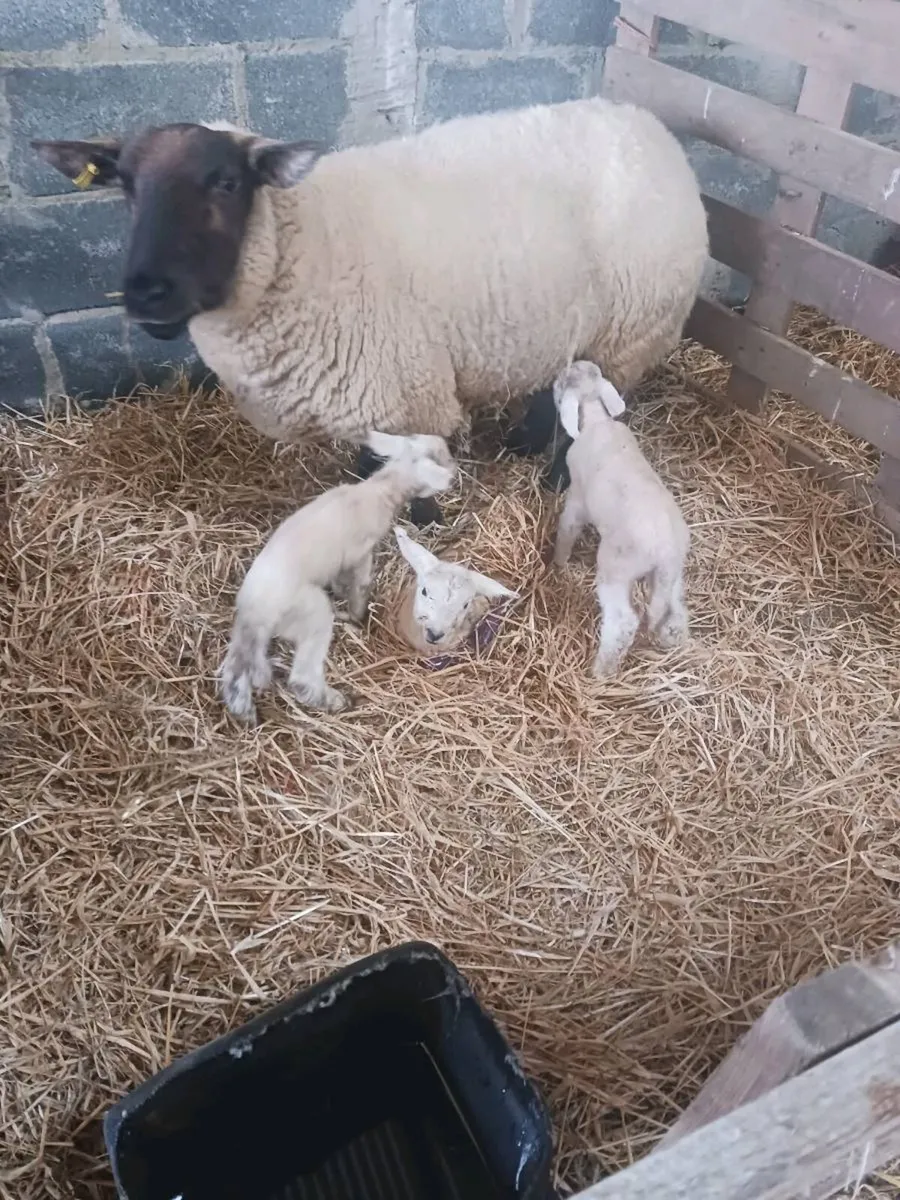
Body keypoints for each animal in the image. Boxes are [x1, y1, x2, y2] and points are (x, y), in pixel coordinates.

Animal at [32, 96, 709, 508]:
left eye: (226, 182)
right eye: (125, 186)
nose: (146, 292)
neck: (304, 244)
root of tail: (648, 124)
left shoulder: (402, 395)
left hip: (631, 330)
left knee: (596, 416)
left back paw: (557, 478)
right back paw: (523, 441)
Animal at [219, 432, 456, 723]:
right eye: (442, 457)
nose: (455, 469)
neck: (379, 490)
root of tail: (254, 612)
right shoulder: (360, 553)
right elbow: (361, 584)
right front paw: (357, 615)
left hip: (250, 634)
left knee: (235, 670)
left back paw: (245, 712)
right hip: (311, 612)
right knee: (301, 678)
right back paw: (337, 701)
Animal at [551, 361, 691, 678]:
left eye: (561, 385)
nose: (551, 382)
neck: (596, 420)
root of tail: (664, 550)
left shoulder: (577, 499)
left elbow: (567, 529)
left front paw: (557, 562)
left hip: (616, 569)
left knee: (623, 622)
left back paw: (601, 670)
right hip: (671, 573)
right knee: (673, 610)